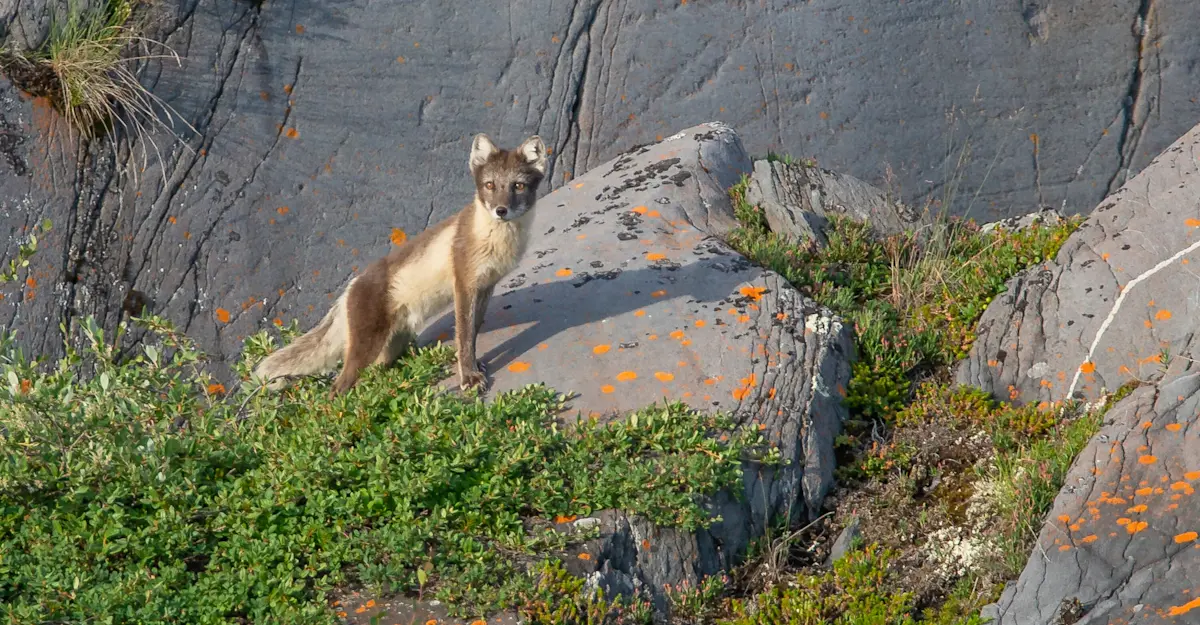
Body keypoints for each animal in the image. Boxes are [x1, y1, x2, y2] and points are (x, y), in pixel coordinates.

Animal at [252, 133, 548, 396]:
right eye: (489, 185)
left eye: (518, 186)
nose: (501, 210)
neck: (497, 240)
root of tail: (349, 288)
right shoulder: (464, 284)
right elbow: (463, 337)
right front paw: (469, 376)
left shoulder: (486, 285)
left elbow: (472, 332)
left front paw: (474, 364)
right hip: (365, 346)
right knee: (338, 386)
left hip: (389, 347)